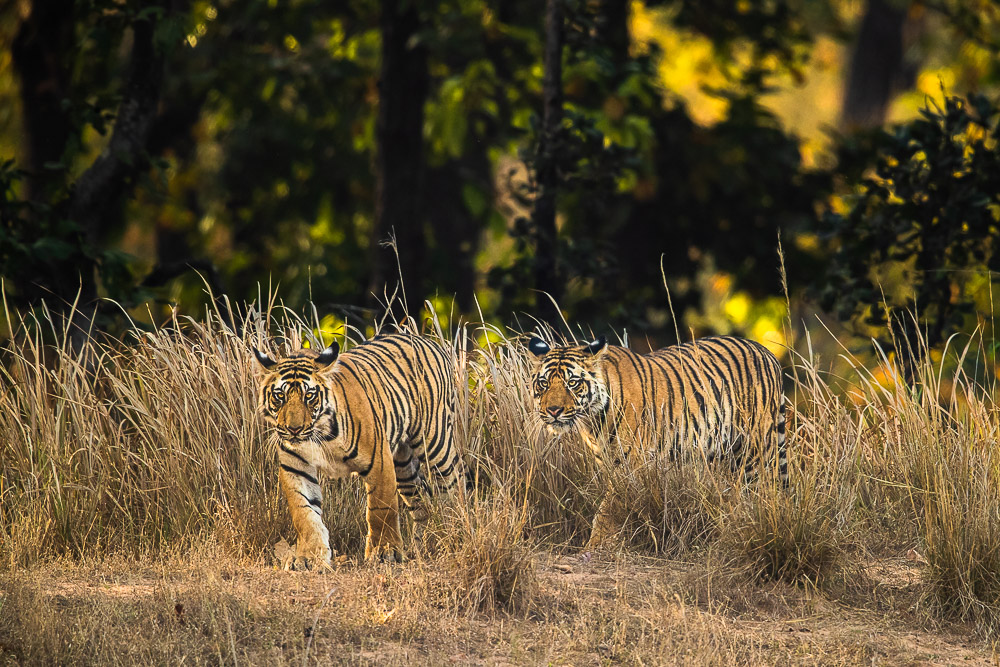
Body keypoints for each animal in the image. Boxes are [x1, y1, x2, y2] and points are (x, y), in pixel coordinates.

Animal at [256, 334, 462, 568]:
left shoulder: (379, 460)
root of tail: (429, 340)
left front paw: (384, 553)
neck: (320, 435)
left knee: (453, 485)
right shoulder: (296, 468)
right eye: (279, 396)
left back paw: (452, 531)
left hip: (435, 442)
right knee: (421, 498)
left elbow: (381, 509)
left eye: (309, 396)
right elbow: (304, 513)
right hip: (403, 463)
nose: (294, 429)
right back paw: (422, 544)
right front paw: (308, 558)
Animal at [528, 334, 784, 548]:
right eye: (544, 383)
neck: (592, 421)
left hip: (756, 452)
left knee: (762, 493)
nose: (553, 410)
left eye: (572, 383)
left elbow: (607, 509)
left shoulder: (629, 466)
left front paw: (596, 545)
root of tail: (766, 352)